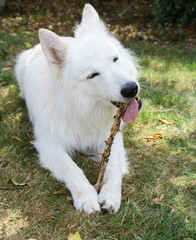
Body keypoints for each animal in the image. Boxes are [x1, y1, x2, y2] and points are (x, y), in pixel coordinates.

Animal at [15, 3, 141, 214]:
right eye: (92, 75)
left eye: (115, 59)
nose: (132, 89)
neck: (84, 110)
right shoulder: (49, 145)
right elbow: (72, 168)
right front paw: (87, 197)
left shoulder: (111, 138)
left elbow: (114, 167)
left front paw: (110, 195)